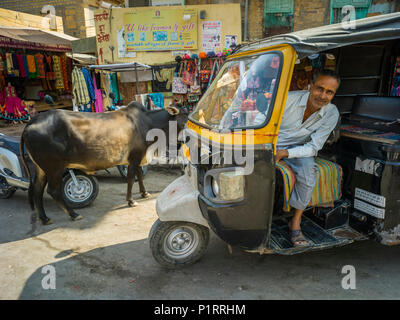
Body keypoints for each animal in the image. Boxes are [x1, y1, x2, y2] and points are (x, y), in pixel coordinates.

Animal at [21, 102, 190, 225]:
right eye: (185, 114)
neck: (149, 123)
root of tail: (31, 123)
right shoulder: (134, 158)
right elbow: (131, 179)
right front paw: (131, 201)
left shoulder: (138, 158)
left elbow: (140, 176)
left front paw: (144, 193)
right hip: (54, 167)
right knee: (53, 191)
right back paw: (74, 214)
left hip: (41, 168)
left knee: (37, 190)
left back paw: (44, 218)